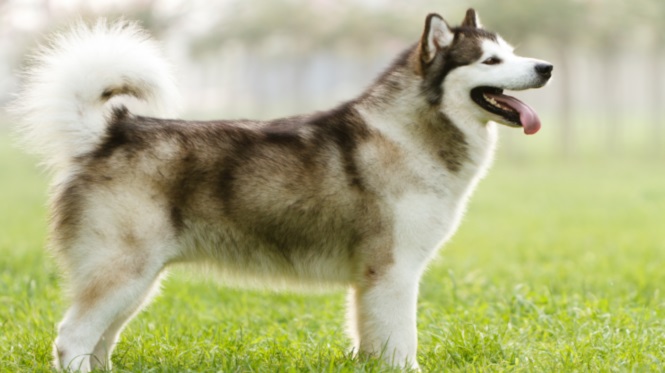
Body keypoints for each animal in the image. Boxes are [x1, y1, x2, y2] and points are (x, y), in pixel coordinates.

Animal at [10, 8, 548, 370]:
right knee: (71, 339)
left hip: (136, 283)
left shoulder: (371, 282)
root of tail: (112, 130)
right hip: (124, 272)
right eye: (491, 60)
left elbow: (373, 342)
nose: (546, 67)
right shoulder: (393, 271)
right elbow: (402, 344)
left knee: (96, 344)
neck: (413, 132)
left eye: (513, 52)